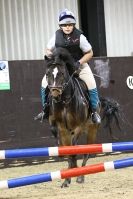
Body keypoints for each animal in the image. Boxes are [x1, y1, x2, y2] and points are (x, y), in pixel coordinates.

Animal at [44, 47, 100, 187]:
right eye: (47, 74)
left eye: (62, 73)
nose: (55, 92)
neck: (64, 100)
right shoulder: (62, 128)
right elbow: (67, 149)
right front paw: (66, 179)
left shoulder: (78, 126)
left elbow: (74, 149)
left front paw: (74, 171)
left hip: (91, 130)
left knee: (86, 153)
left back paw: (80, 176)